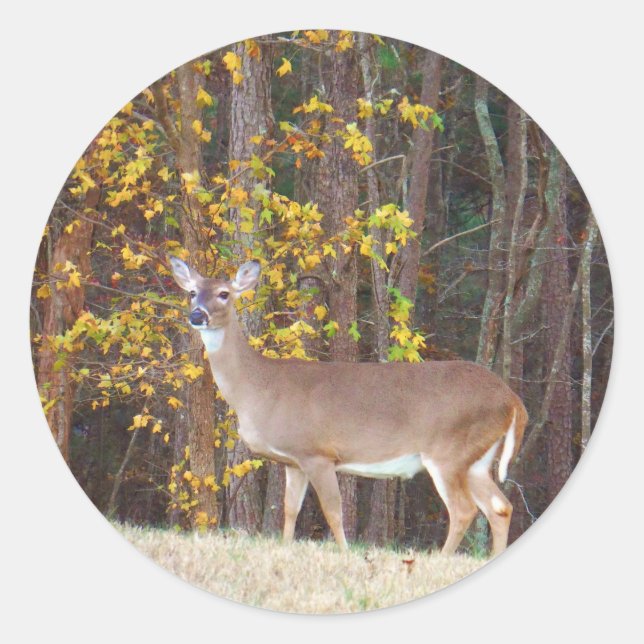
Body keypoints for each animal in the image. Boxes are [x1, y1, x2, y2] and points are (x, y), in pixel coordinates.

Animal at [169, 257, 528, 556]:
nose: (197, 316)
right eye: (192, 292)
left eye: (224, 293)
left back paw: (441, 559)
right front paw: (286, 548)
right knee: (500, 507)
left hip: (448, 451)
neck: (259, 388)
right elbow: (290, 510)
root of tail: (512, 400)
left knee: (464, 510)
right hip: (476, 459)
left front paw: (343, 553)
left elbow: (333, 511)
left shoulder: (318, 453)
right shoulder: (294, 461)